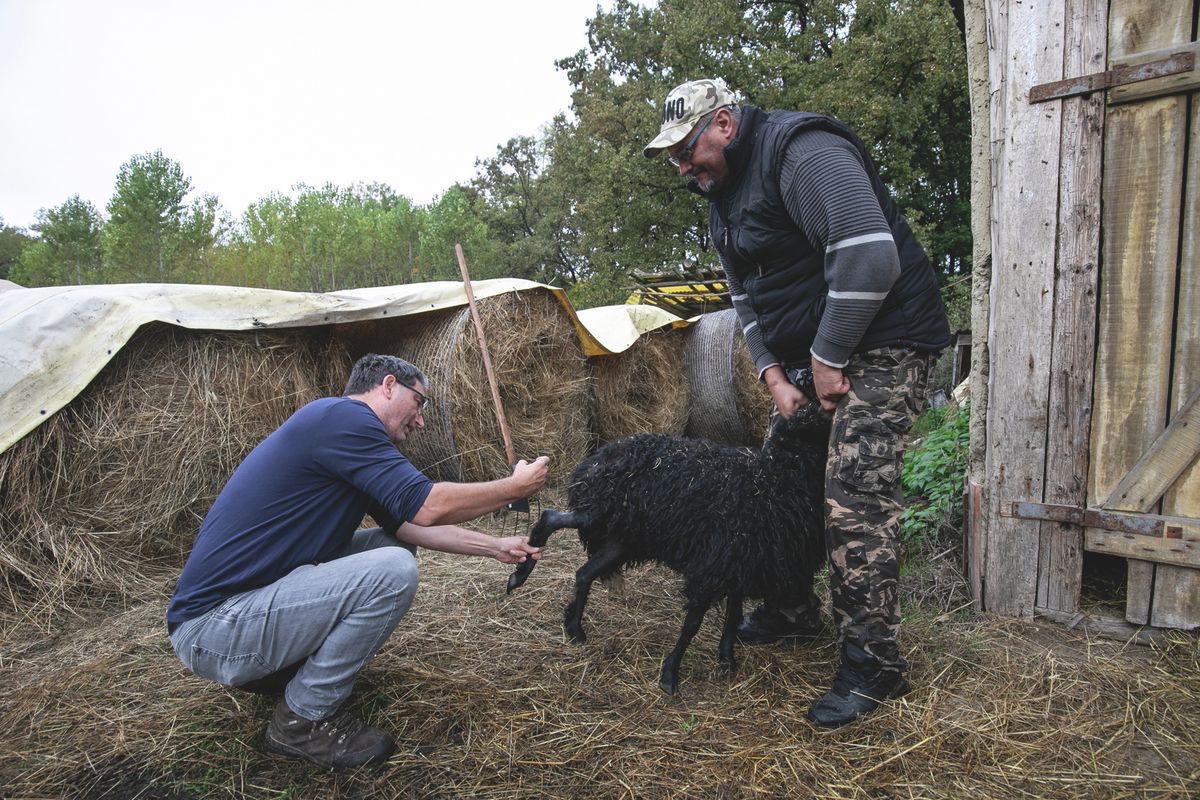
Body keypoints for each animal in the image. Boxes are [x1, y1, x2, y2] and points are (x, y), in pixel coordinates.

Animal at [504, 393, 825, 695]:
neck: (777, 479)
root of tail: (599, 455)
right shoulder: (711, 567)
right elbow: (692, 625)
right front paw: (670, 675)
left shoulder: (739, 564)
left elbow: (733, 617)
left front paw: (727, 659)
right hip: (601, 511)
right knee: (550, 517)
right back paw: (519, 576)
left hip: (622, 537)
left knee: (583, 573)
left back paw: (574, 629)